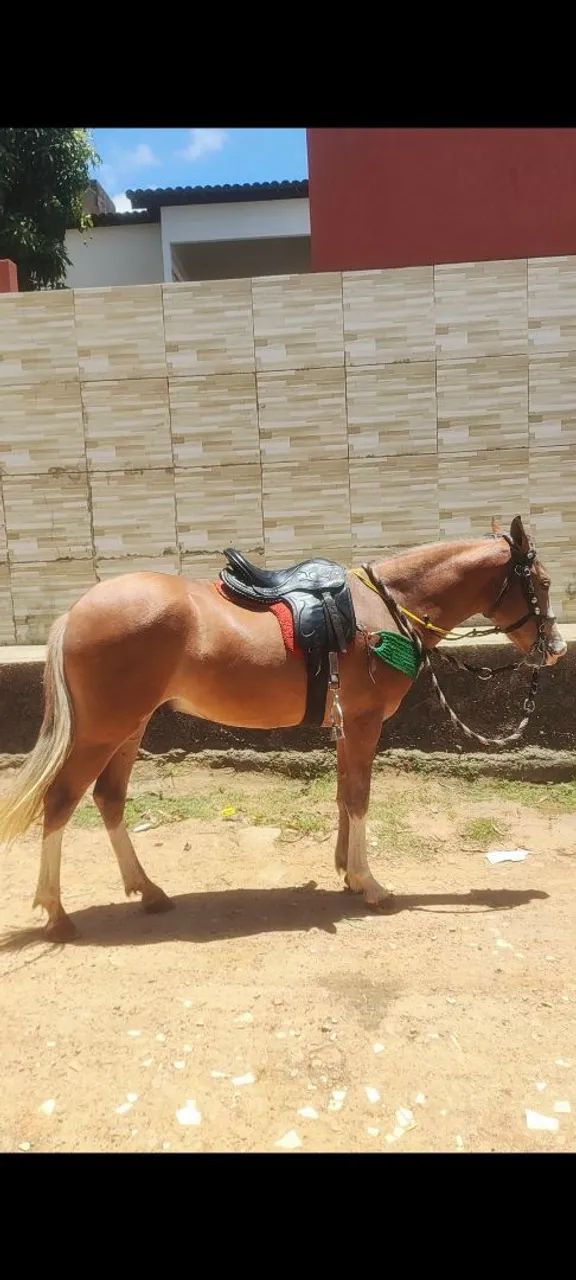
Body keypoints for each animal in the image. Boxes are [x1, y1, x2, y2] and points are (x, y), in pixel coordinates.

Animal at [0, 514, 566, 942]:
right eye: (541, 583)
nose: (556, 649)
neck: (385, 609)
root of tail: (74, 614)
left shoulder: (346, 727)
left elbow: (343, 795)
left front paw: (346, 873)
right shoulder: (364, 724)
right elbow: (359, 797)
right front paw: (370, 884)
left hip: (130, 727)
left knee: (109, 799)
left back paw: (149, 892)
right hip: (103, 730)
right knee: (60, 802)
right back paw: (56, 913)